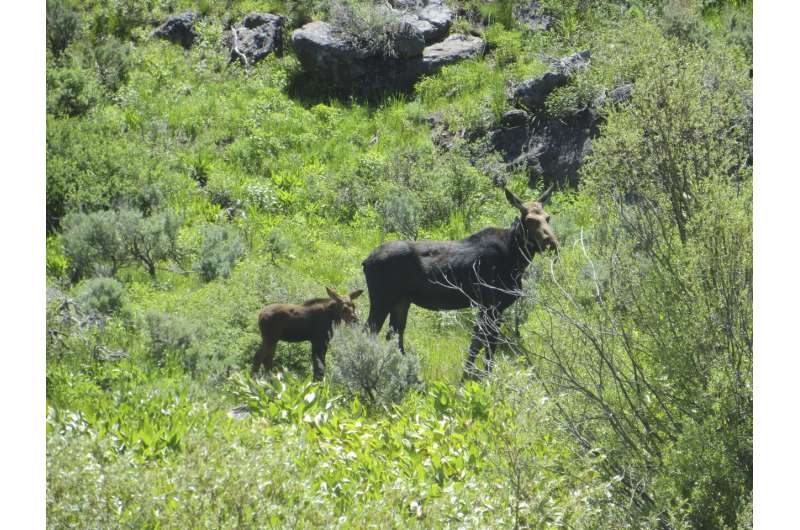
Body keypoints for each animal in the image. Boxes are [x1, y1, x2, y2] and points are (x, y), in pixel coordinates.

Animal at [362, 184, 556, 378]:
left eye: (548, 217)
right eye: (529, 220)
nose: (552, 243)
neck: (517, 259)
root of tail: (365, 261)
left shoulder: (486, 307)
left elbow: (476, 344)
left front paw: (466, 376)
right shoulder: (493, 306)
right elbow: (488, 346)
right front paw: (486, 378)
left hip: (401, 301)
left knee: (394, 335)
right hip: (381, 300)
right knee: (368, 333)